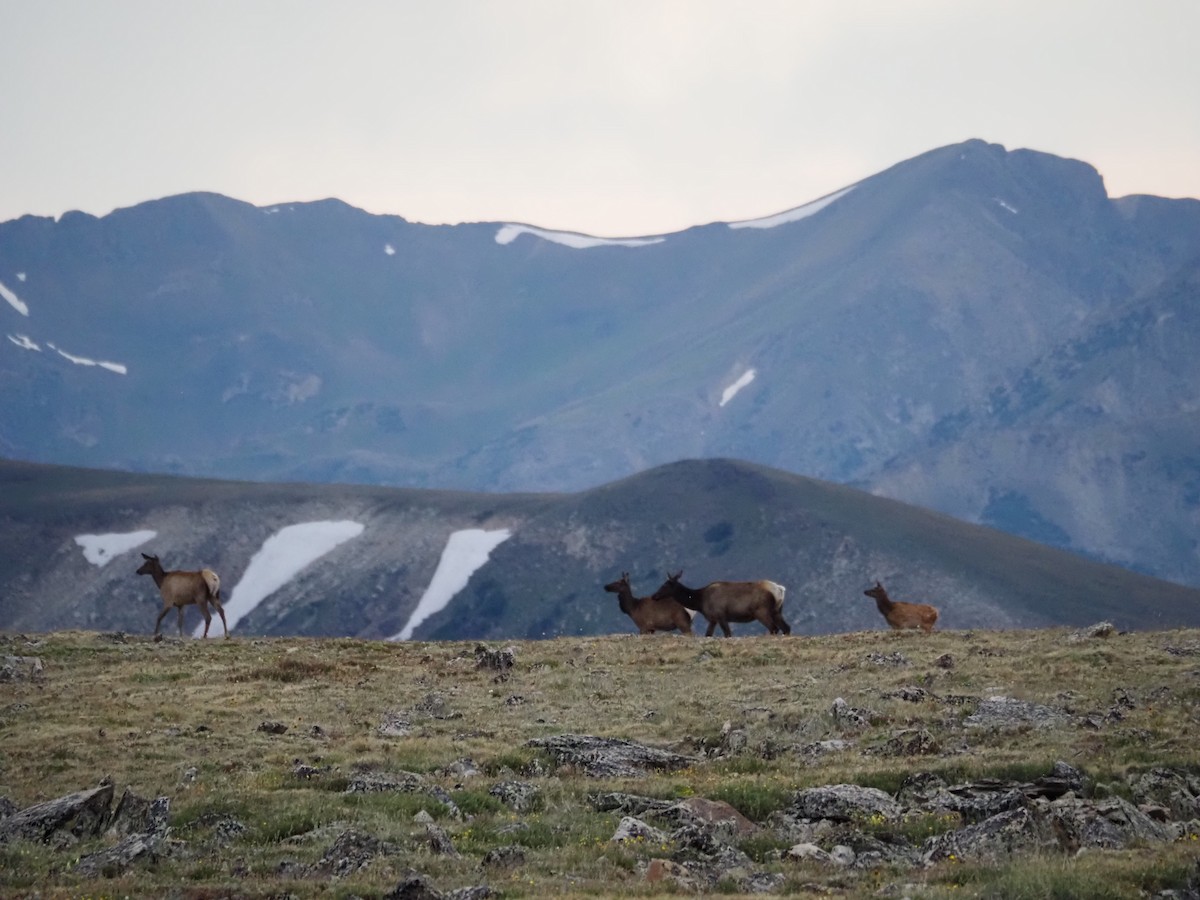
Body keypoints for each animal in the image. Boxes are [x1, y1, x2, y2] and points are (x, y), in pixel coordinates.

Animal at [651, 570, 789, 637]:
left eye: (664, 585)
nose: (654, 596)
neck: (699, 601)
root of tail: (779, 589)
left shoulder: (721, 615)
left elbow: (728, 634)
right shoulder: (713, 619)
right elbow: (708, 635)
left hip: (761, 611)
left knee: (774, 628)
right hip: (777, 610)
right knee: (786, 628)